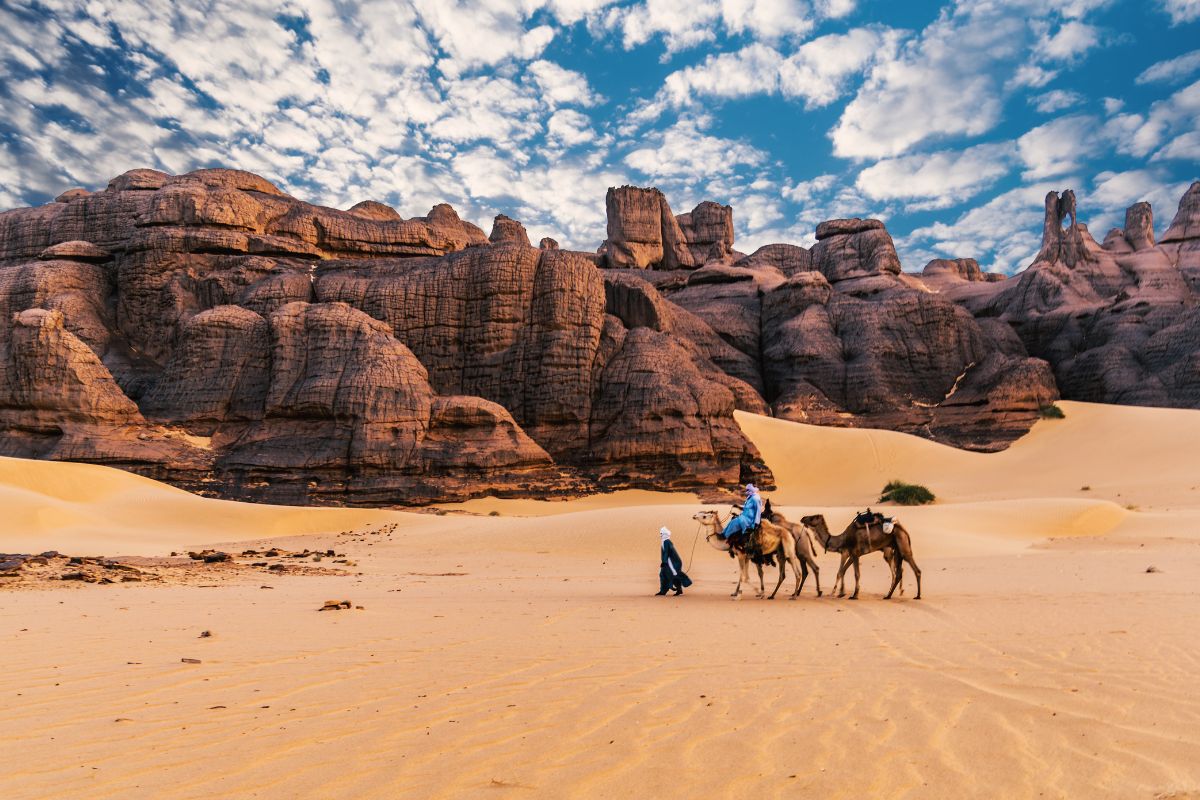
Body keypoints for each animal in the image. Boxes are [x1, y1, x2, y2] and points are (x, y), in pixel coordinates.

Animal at [691, 510, 820, 597]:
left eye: (704, 515)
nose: (694, 516)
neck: (728, 539)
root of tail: (805, 532)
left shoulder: (741, 554)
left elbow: (744, 575)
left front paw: (752, 592)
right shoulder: (747, 556)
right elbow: (749, 574)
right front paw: (738, 592)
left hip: (798, 551)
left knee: (809, 569)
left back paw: (804, 593)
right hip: (788, 553)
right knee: (802, 571)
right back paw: (793, 593)